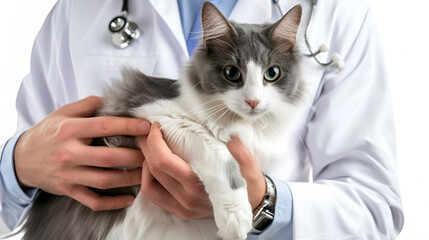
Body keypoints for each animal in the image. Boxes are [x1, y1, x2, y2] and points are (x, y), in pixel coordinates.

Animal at [22, 2, 304, 240]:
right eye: (232, 73)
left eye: (272, 73)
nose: (253, 102)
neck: (241, 124)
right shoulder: (154, 113)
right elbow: (220, 155)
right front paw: (235, 217)